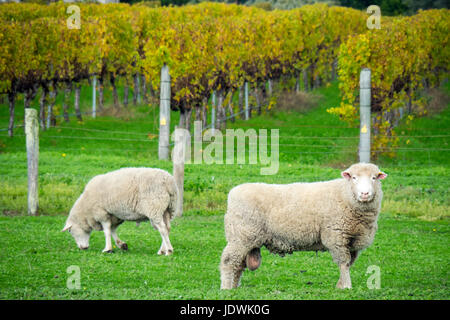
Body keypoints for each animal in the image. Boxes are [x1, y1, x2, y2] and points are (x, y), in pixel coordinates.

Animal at [219, 162, 386, 290]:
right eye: (354, 178)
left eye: (374, 178)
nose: (365, 194)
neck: (344, 195)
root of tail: (233, 193)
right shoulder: (336, 236)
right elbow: (344, 264)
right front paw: (346, 286)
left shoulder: (353, 240)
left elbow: (349, 263)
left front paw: (340, 285)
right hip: (241, 236)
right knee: (229, 261)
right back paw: (227, 288)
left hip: (244, 238)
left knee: (238, 265)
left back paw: (235, 286)